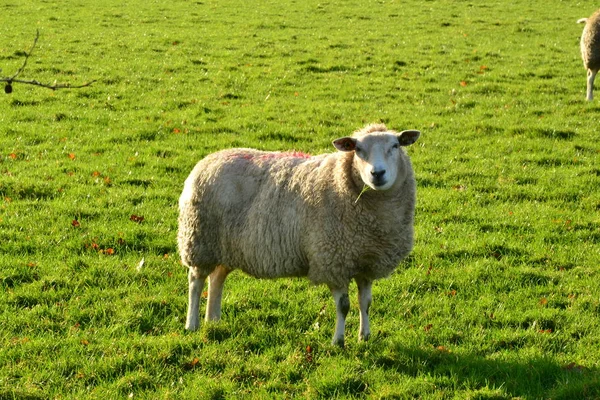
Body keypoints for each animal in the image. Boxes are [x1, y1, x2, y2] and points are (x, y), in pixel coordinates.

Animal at [178, 123, 420, 346]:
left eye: (395, 146)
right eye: (358, 149)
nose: (377, 174)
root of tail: (208, 159)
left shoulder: (366, 262)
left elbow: (365, 303)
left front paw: (364, 336)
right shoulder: (333, 261)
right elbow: (344, 306)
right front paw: (338, 341)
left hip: (223, 246)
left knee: (217, 278)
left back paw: (213, 320)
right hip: (199, 241)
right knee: (195, 281)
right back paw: (192, 324)